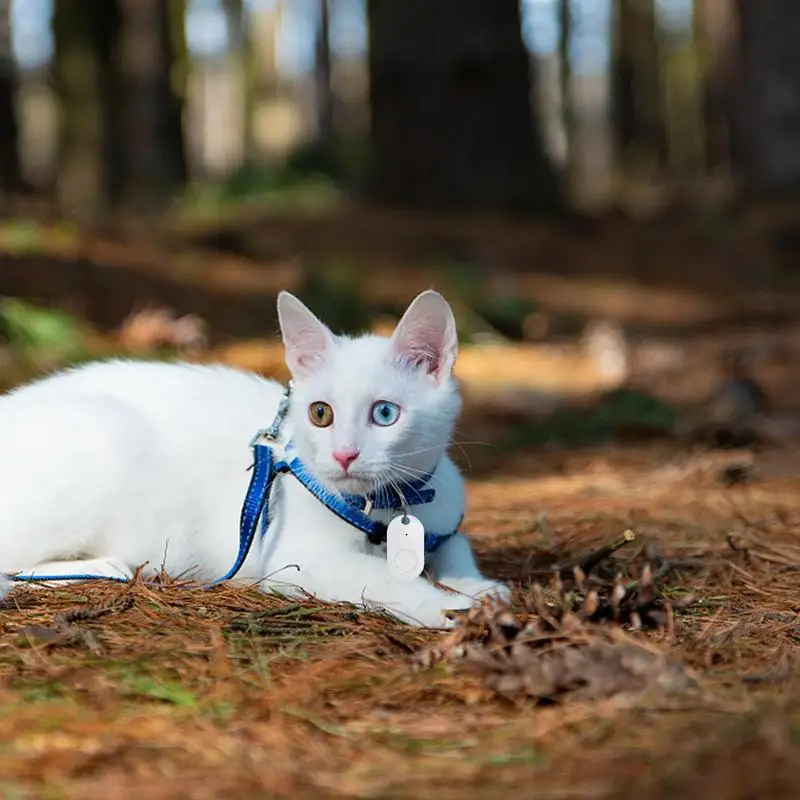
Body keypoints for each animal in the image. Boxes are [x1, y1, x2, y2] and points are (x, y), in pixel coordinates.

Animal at [0, 290, 506, 628]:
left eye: (385, 413)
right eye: (320, 413)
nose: (344, 455)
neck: (388, 505)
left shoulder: (445, 508)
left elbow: (456, 548)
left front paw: (479, 585)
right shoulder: (295, 559)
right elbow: (384, 578)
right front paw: (446, 606)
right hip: (104, 438)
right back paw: (104, 567)